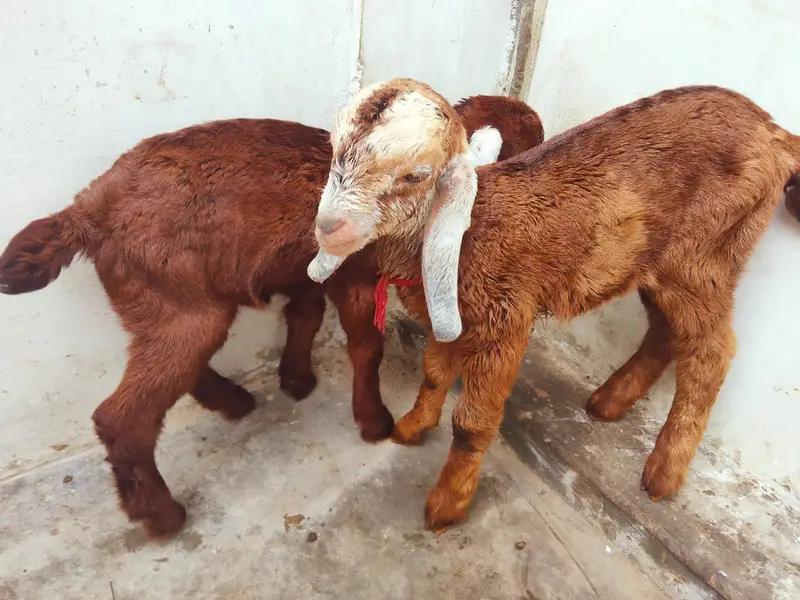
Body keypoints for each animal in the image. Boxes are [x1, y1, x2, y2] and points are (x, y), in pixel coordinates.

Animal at [0, 95, 544, 538]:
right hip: (180, 306)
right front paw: (373, 421)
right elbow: (366, 347)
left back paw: (233, 401)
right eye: (525, 148)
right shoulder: (356, 277)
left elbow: (303, 317)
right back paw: (161, 513)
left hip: (166, 306)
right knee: (122, 416)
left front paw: (296, 380)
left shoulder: (304, 273)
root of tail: (87, 212)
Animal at [311, 78, 800, 533]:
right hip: (656, 262)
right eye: (336, 152)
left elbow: (470, 424)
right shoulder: (452, 312)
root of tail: (773, 132)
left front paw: (447, 504)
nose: (329, 228)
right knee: (666, 329)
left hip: (704, 255)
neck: (470, 228)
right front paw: (413, 426)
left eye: (416, 174)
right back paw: (610, 402)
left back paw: (664, 470)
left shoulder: (505, 318)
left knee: (712, 349)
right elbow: (433, 372)